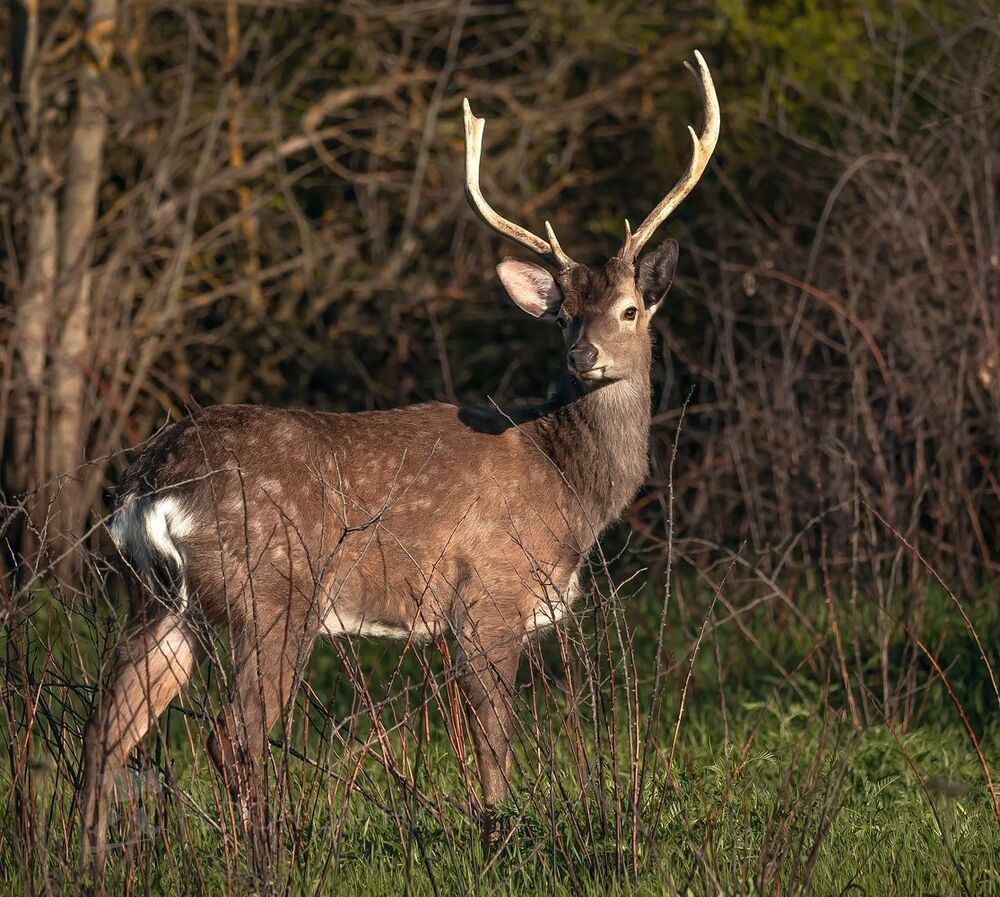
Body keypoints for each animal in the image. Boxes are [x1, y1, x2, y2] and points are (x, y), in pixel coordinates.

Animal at [80, 51, 719, 866]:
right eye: (563, 317)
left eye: (629, 310)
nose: (586, 355)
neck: (569, 487)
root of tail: (148, 487)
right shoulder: (489, 597)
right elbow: (493, 745)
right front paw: (497, 839)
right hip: (272, 592)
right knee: (232, 734)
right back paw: (265, 856)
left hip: (156, 598)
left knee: (107, 726)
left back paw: (85, 857)